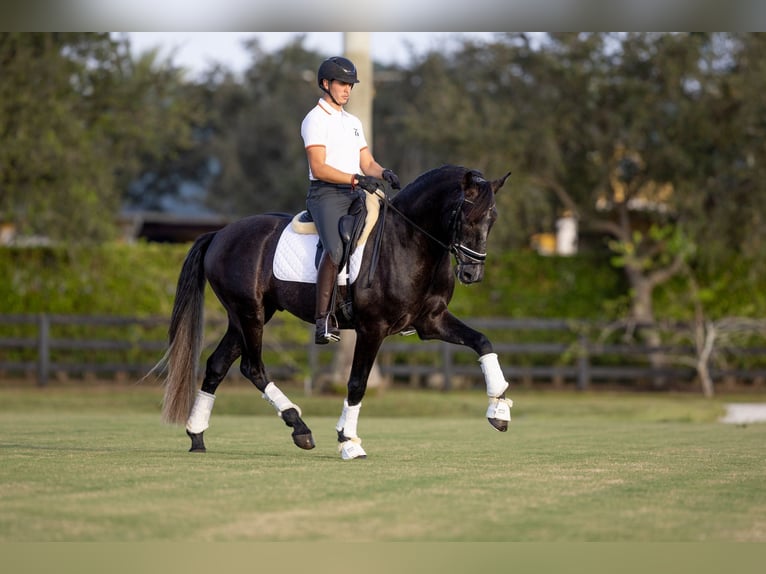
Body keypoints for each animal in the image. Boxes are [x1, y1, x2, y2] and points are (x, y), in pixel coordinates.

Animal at [154, 164, 516, 462]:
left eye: (492, 218)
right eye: (462, 213)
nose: (471, 273)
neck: (408, 241)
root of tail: (220, 234)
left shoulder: (431, 321)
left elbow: (483, 342)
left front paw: (498, 409)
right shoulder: (373, 328)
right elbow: (357, 382)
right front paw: (348, 440)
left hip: (244, 316)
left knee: (218, 365)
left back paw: (197, 435)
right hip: (250, 314)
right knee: (252, 367)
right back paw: (299, 428)